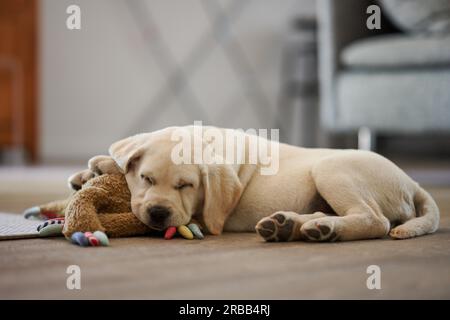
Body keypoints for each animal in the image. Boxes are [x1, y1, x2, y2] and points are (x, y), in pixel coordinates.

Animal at [69, 126, 440, 241]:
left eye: (186, 186)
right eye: (146, 178)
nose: (159, 213)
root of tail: (413, 182)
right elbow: (122, 163)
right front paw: (96, 169)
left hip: (331, 168)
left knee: (375, 220)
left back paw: (324, 229)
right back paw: (291, 225)